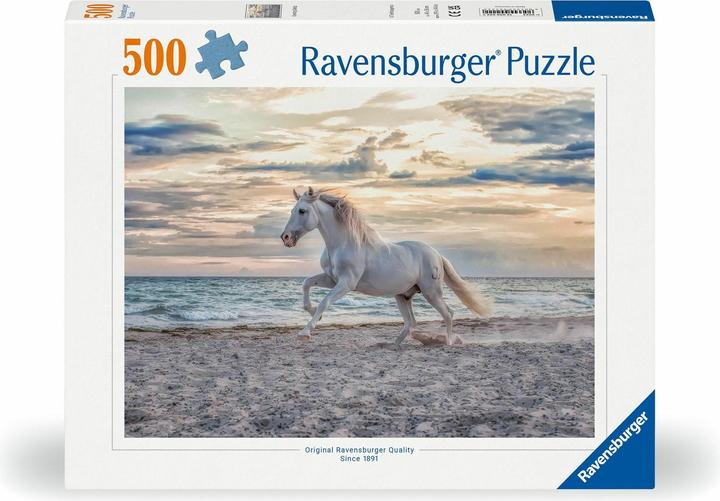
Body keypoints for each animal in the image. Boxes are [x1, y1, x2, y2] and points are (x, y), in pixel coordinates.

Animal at [281, 187, 493, 345]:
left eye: (302, 211)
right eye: (292, 210)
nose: (286, 238)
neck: (343, 243)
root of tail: (437, 255)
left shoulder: (346, 283)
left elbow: (324, 302)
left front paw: (305, 332)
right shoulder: (332, 279)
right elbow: (307, 284)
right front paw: (312, 313)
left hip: (431, 292)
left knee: (448, 313)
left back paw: (448, 342)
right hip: (403, 295)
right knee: (411, 323)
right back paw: (393, 344)